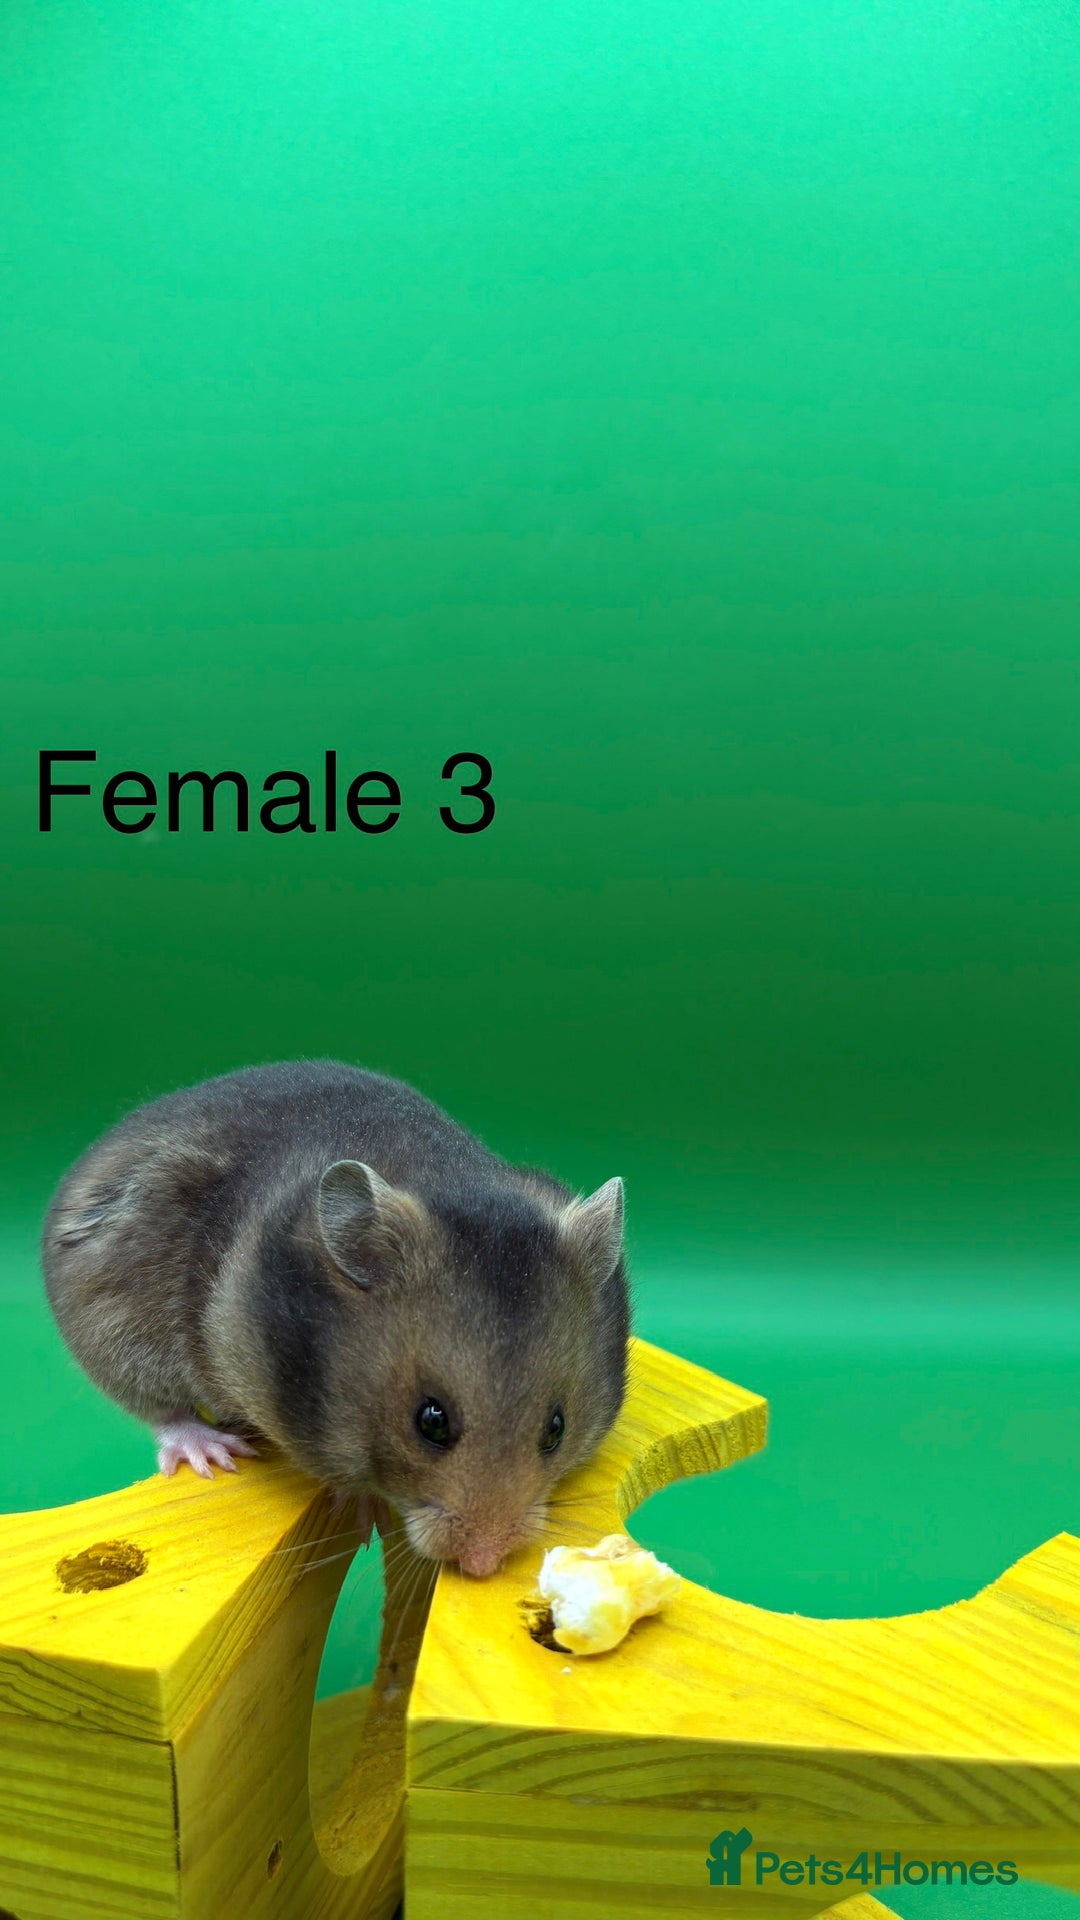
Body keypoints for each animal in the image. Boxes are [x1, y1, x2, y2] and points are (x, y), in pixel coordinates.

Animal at [41, 1061, 630, 1577]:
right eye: (430, 1422)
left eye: (556, 1429)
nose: (483, 1566)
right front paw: (365, 1512)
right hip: (113, 1319)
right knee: (159, 1408)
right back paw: (215, 1453)